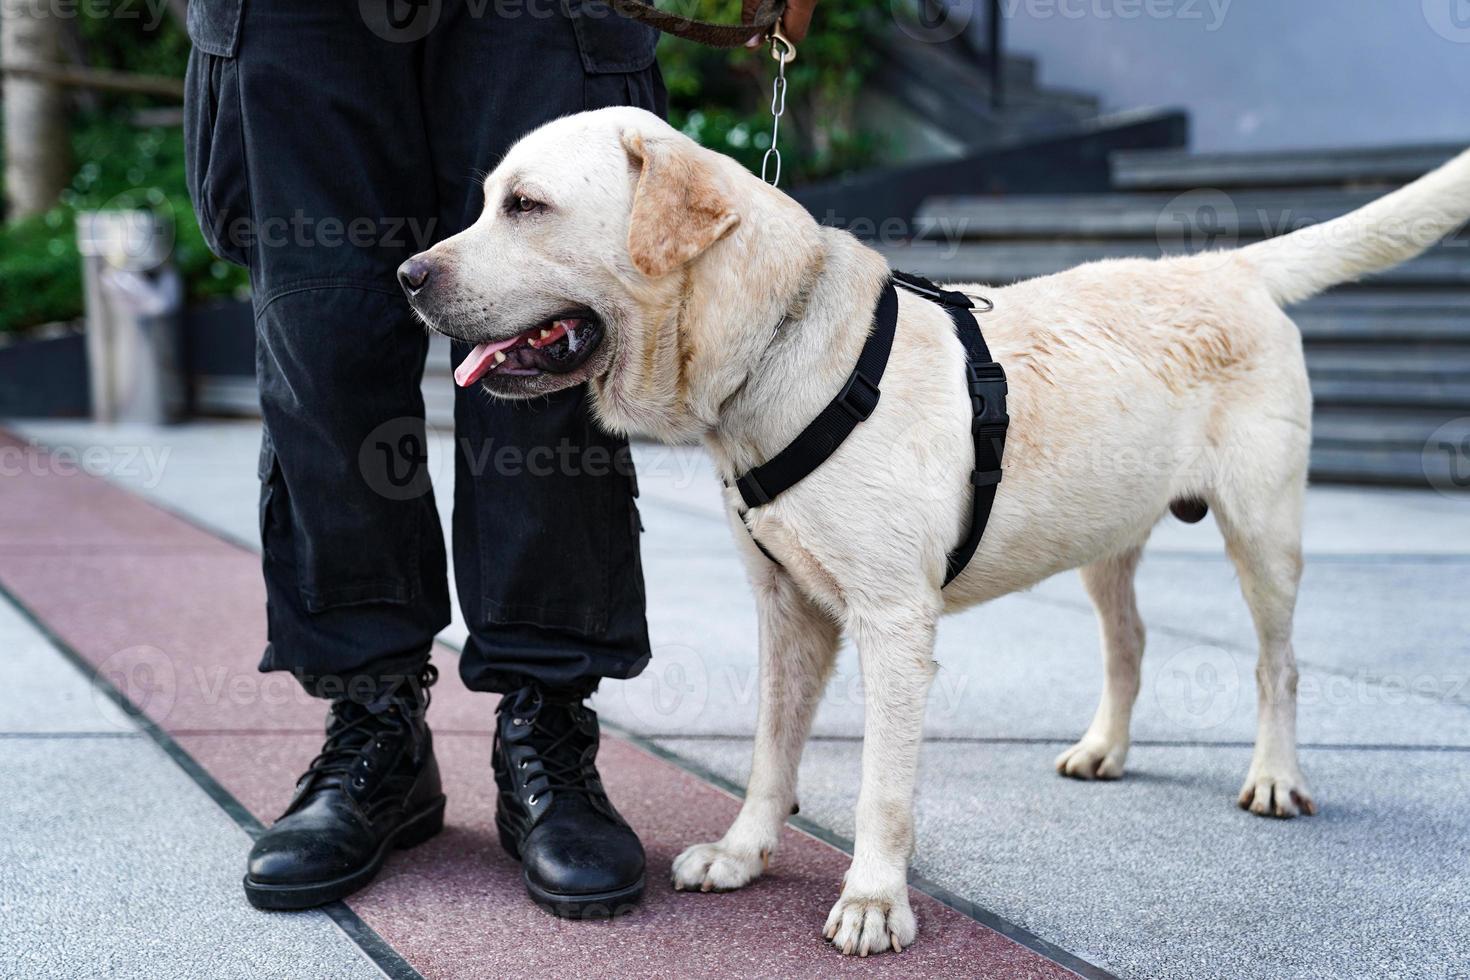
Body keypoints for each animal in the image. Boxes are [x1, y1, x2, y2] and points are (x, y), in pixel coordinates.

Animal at [402, 109, 1470, 957]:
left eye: (527, 206)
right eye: (488, 200)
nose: (407, 273)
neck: (780, 344)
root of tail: (1224, 263)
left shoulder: (892, 622)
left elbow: (883, 784)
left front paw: (875, 902)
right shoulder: (786, 608)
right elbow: (769, 750)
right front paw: (747, 852)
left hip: (1264, 530)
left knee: (1276, 664)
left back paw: (1276, 776)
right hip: (1106, 533)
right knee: (1129, 641)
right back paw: (1105, 747)